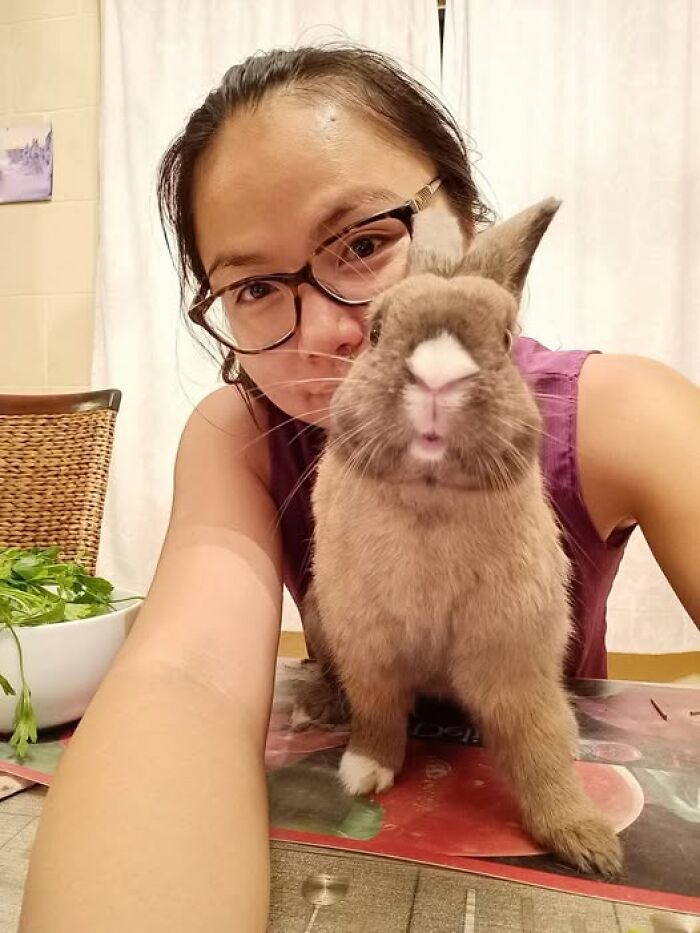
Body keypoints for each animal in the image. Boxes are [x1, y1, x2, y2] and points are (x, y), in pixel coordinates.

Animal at [299, 198, 622, 877]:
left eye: (504, 339)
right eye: (375, 330)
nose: (438, 375)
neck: (430, 503)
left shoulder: (513, 654)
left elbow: (537, 743)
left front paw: (587, 840)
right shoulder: (367, 647)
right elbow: (377, 713)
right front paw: (363, 772)